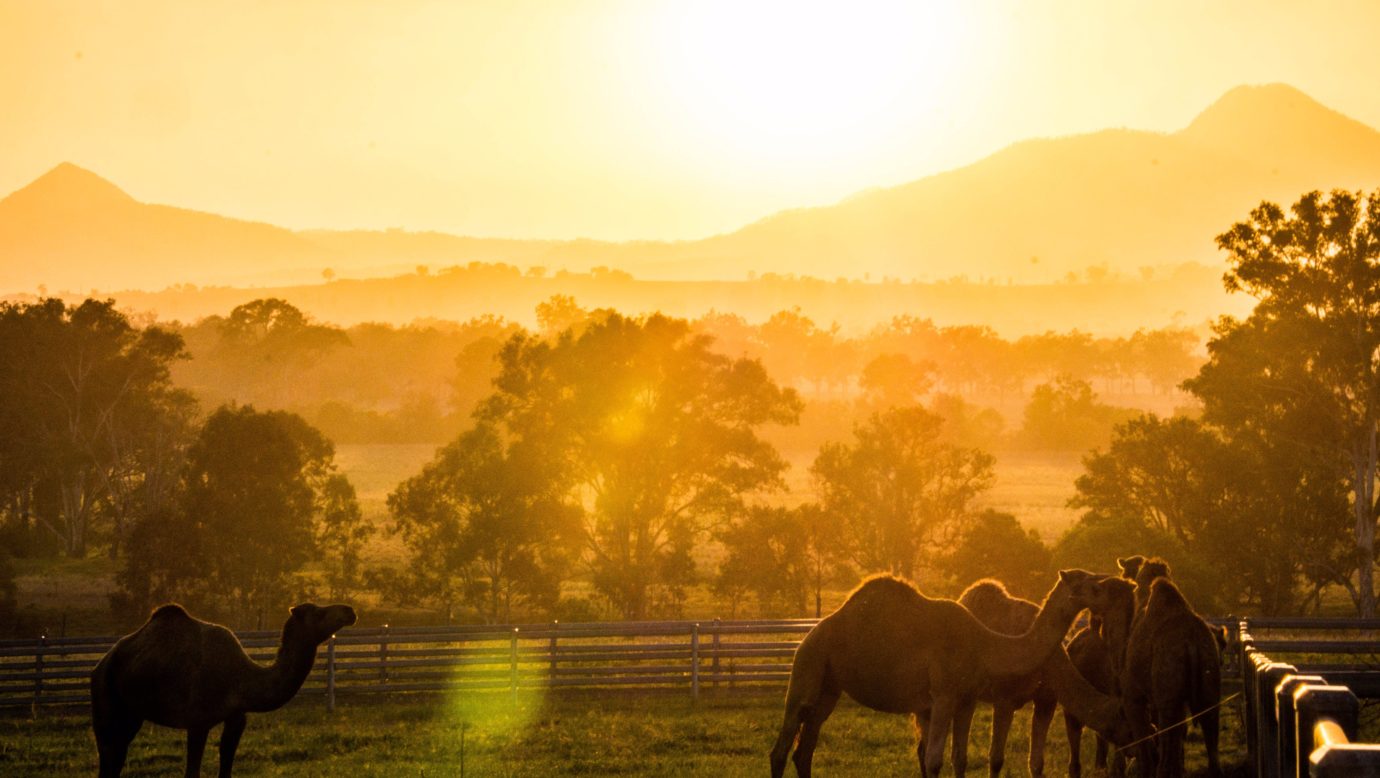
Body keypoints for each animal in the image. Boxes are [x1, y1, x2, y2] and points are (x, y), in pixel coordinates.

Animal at [91, 601, 358, 778]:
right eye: (319, 612)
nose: (350, 611)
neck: (241, 678)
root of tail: (102, 663)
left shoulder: (237, 717)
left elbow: (226, 767)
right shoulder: (197, 721)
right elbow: (192, 772)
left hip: (131, 714)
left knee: (117, 755)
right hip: (105, 698)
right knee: (108, 753)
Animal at [772, 565, 1104, 778]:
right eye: (1088, 584)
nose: (1106, 581)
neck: (984, 644)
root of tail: (809, 635)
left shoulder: (966, 699)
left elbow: (960, 758)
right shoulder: (943, 695)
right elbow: (933, 761)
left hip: (829, 686)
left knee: (805, 748)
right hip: (808, 666)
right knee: (782, 745)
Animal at [960, 579, 1131, 772]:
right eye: (1125, 724)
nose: (1131, 751)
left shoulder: (1046, 699)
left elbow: (1036, 763)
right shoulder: (1004, 699)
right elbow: (996, 759)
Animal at [1120, 576, 1219, 778]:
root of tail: (1191, 643)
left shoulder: (1132, 696)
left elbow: (1143, 736)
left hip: (1168, 690)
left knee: (1167, 733)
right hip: (1209, 679)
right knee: (1210, 730)